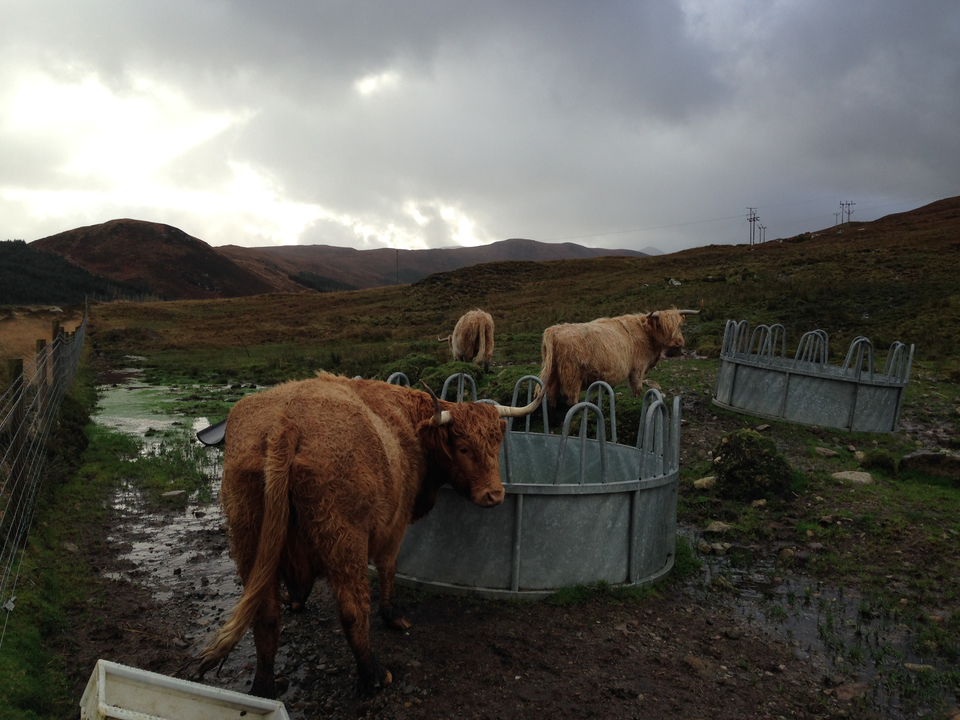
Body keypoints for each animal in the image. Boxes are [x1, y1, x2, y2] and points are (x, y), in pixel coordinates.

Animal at [195, 373, 541, 699]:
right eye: (464, 448)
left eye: (496, 445)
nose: (495, 495)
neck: (407, 422)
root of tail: (285, 422)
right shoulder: (396, 524)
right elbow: (388, 569)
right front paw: (393, 616)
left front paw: (297, 599)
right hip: (344, 541)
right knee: (352, 610)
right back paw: (374, 674)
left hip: (248, 537)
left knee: (264, 615)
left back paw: (264, 687)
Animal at [539, 303, 702, 408]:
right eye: (662, 326)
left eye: (679, 325)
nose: (679, 342)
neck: (647, 334)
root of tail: (553, 330)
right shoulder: (638, 369)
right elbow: (637, 389)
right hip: (572, 376)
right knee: (572, 399)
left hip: (553, 374)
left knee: (551, 396)